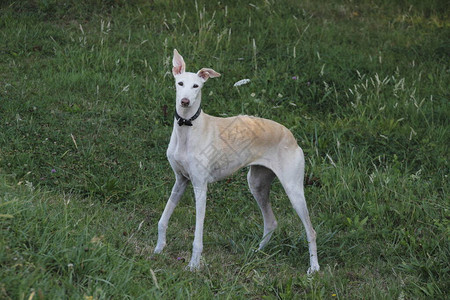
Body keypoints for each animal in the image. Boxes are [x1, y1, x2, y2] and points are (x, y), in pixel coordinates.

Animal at [155, 49, 320, 274]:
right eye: (180, 83)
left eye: (196, 86)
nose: (185, 102)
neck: (188, 128)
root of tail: (290, 135)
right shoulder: (181, 181)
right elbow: (162, 220)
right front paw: (158, 249)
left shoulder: (200, 187)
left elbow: (198, 235)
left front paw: (194, 265)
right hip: (257, 184)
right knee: (271, 222)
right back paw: (257, 252)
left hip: (293, 190)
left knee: (310, 230)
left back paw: (314, 268)